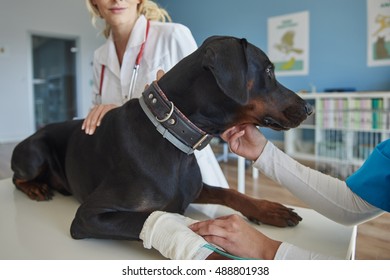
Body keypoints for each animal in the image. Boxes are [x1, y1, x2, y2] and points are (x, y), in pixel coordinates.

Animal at [10, 37, 312, 258]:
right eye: (269, 71)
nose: (309, 107)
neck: (172, 137)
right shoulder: (89, 215)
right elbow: (180, 235)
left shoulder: (192, 189)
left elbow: (230, 192)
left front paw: (270, 210)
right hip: (35, 153)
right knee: (16, 177)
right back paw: (36, 187)